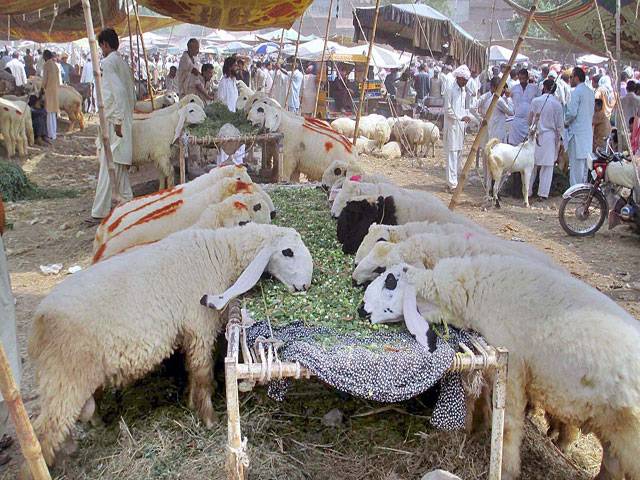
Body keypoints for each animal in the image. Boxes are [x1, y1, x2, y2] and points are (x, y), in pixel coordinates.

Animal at [24, 223, 312, 470]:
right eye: (287, 252)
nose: (306, 284)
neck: (220, 254)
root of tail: (36, 325)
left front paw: (195, 402)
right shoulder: (199, 327)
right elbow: (201, 373)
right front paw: (209, 418)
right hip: (65, 374)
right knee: (43, 431)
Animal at [360, 258, 640, 480]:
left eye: (390, 282)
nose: (361, 310)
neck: (479, 290)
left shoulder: (513, 368)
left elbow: (507, 425)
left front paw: (506, 469)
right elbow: (483, 400)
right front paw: (476, 430)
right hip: (614, 430)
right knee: (613, 465)